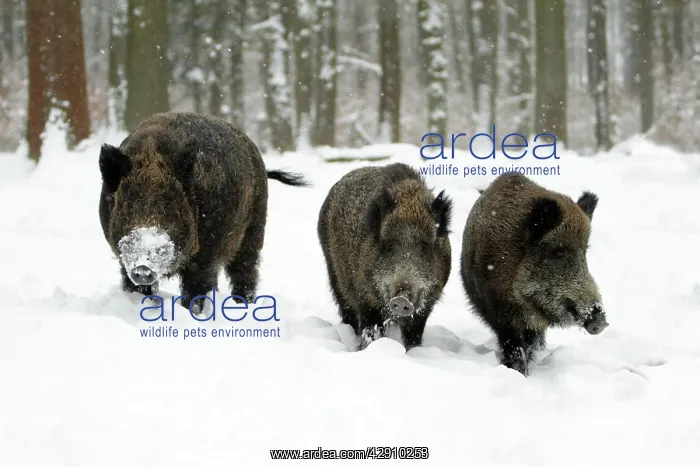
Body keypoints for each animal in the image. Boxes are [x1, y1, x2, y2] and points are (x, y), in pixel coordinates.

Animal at [98, 112, 310, 313]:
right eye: (128, 204)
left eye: (168, 205)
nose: (143, 267)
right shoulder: (123, 260)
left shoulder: (206, 255)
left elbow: (196, 287)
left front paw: (193, 313)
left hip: (254, 229)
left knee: (245, 270)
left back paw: (242, 304)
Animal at [317, 163, 452, 350]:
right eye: (390, 245)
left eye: (424, 247)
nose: (402, 298)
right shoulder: (366, 300)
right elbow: (370, 330)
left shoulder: (426, 307)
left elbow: (414, 335)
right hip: (334, 274)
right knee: (347, 312)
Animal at [460, 172, 607, 376]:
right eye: (559, 252)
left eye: (585, 251)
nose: (601, 322)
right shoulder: (500, 312)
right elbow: (514, 344)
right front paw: (519, 372)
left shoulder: (535, 323)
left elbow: (530, 343)